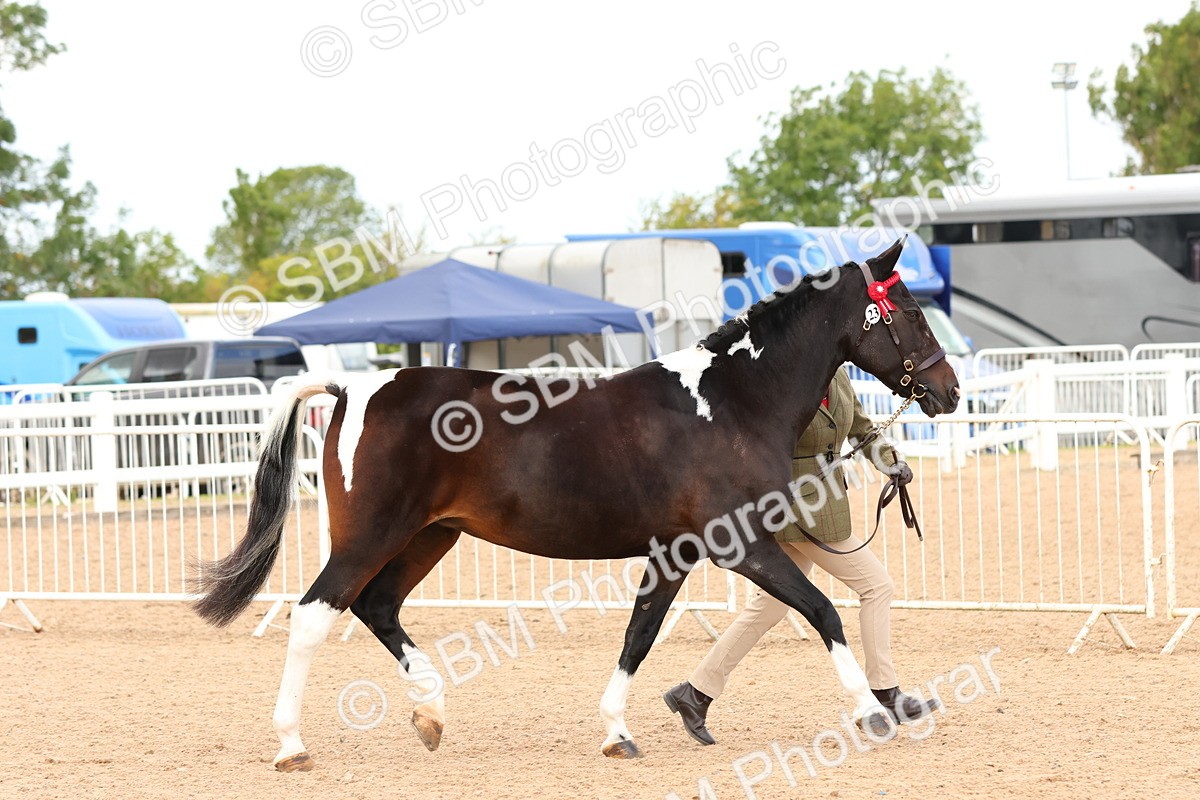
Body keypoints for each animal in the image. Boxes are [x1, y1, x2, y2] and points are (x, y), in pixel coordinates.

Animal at [193, 239, 959, 771]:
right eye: (911, 313)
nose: (948, 391)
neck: (731, 401)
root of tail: (354, 389)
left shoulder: (675, 551)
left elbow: (639, 635)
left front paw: (618, 732)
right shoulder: (739, 543)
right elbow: (823, 610)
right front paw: (869, 712)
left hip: (430, 536)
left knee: (377, 607)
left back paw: (431, 715)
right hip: (371, 536)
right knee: (312, 616)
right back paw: (292, 745)